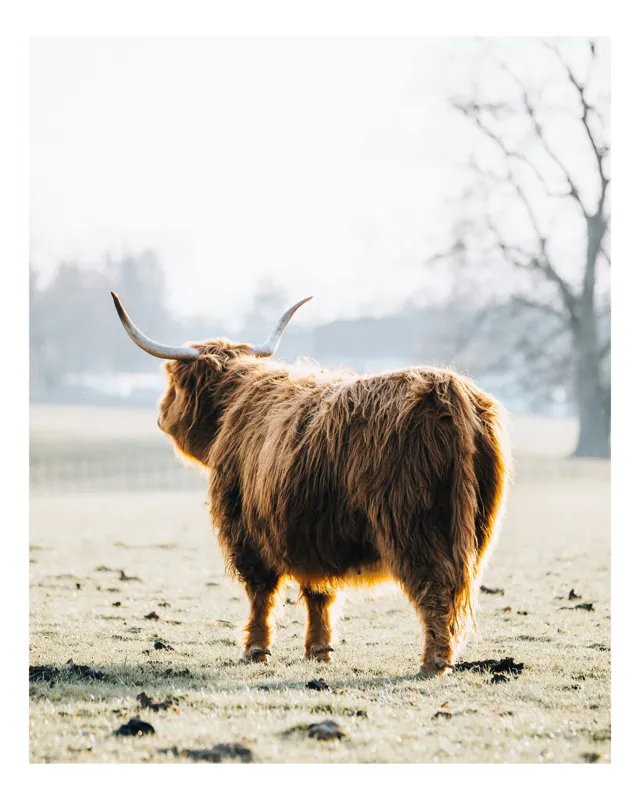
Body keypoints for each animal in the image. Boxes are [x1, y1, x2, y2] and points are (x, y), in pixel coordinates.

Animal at [111, 292, 510, 676]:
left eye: (174, 383)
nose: (161, 415)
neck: (234, 406)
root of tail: (447, 389)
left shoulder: (245, 530)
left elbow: (261, 592)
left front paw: (255, 650)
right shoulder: (313, 532)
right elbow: (320, 592)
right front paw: (319, 651)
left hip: (412, 526)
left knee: (434, 588)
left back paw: (433, 662)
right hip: (476, 530)